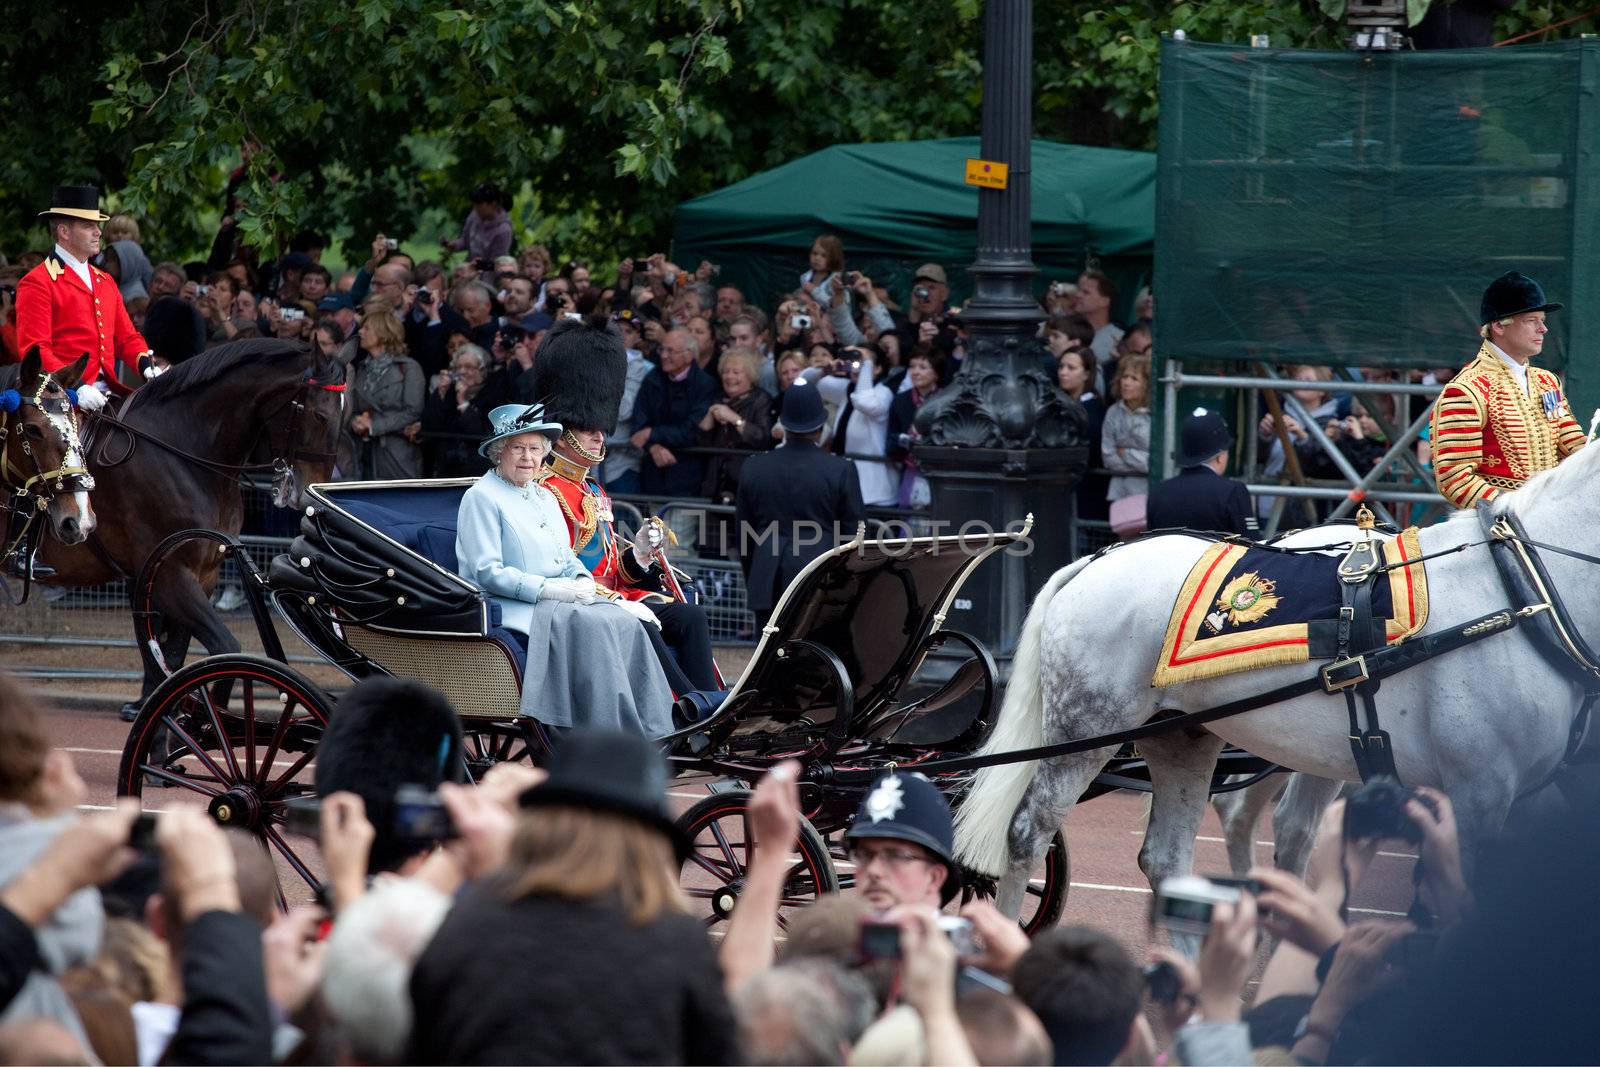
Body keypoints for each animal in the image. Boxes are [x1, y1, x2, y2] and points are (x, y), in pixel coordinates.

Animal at [36, 340, 344, 710]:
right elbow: (222, 648)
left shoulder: (203, 573)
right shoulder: (171, 572)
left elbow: (176, 652)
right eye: (320, 416)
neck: (184, 454)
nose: (311, 494)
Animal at [947, 451, 1600, 921]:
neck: (1523, 589)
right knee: (1027, 834)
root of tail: (1098, 556)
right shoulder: (1479, 792)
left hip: (1188, 738)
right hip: (1085, 732)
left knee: (1175, 856)